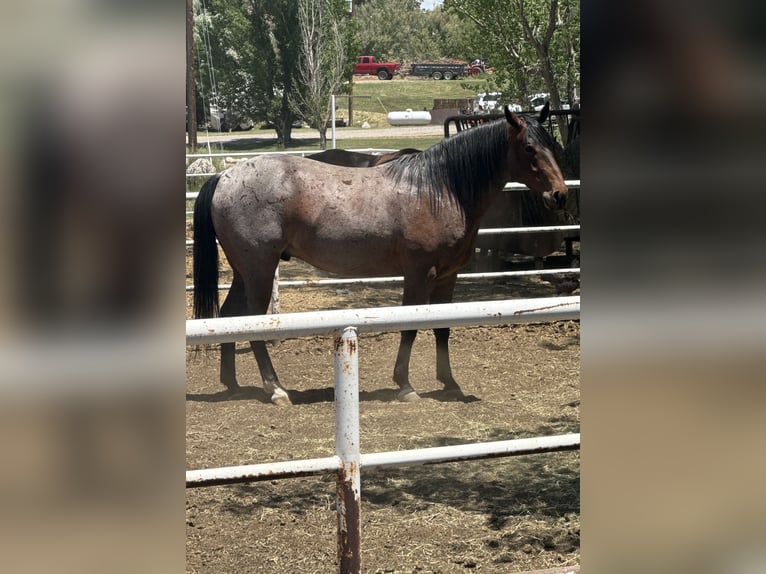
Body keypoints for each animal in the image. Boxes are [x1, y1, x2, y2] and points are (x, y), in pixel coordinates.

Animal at [192, 103, 568, 405]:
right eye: (529, 148)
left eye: (553, 144)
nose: (560, 195)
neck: (439, 189)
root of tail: (224, 176)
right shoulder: (420, 275)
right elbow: (410, 328)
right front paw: (405, 385)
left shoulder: (448, 277)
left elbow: (442, 328)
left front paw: (450, 383)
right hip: (259, 269)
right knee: (252, 319)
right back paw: (275, 389)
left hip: (244, 271)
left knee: (229, 316)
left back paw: (233, 384)